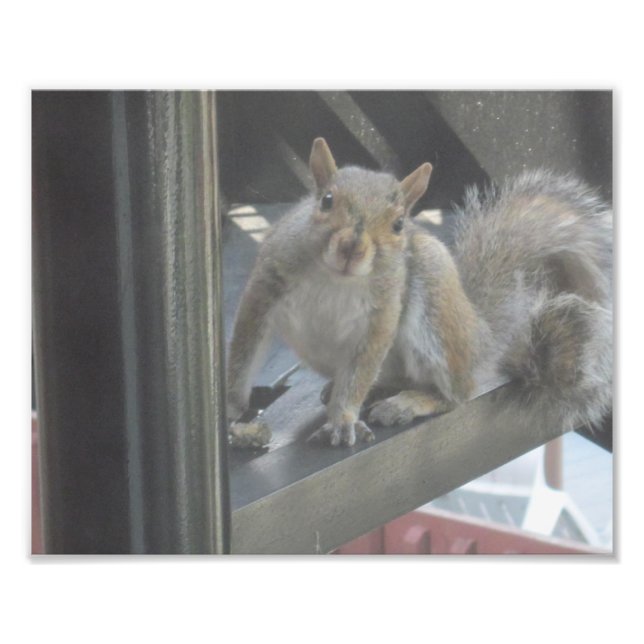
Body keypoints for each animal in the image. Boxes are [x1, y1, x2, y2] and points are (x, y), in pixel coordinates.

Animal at [226, 137, 613, 447]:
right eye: (326, 201)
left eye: (399, 224)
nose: (352, 247)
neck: (336, 278)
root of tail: (483, 338)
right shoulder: (267, 282)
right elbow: (246, 347)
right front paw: (231, 406)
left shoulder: (382, 310)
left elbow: (363, 366)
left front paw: (343, 420)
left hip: (436, 304)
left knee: (458, 395)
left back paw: (410, 402)